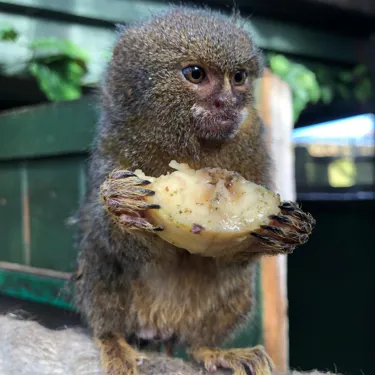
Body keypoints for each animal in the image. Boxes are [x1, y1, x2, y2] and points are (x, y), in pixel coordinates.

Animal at [73, 5, 314, 375]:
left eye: (239, 77)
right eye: (196, 74)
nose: (227, 102)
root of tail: (159, 324)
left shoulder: (255, 149)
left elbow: (237, 256)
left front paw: (283, 230)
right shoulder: (113, 149)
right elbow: (116, 239)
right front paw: (124, 204)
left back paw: (210, 349)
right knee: (99, 259)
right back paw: (113, 342)